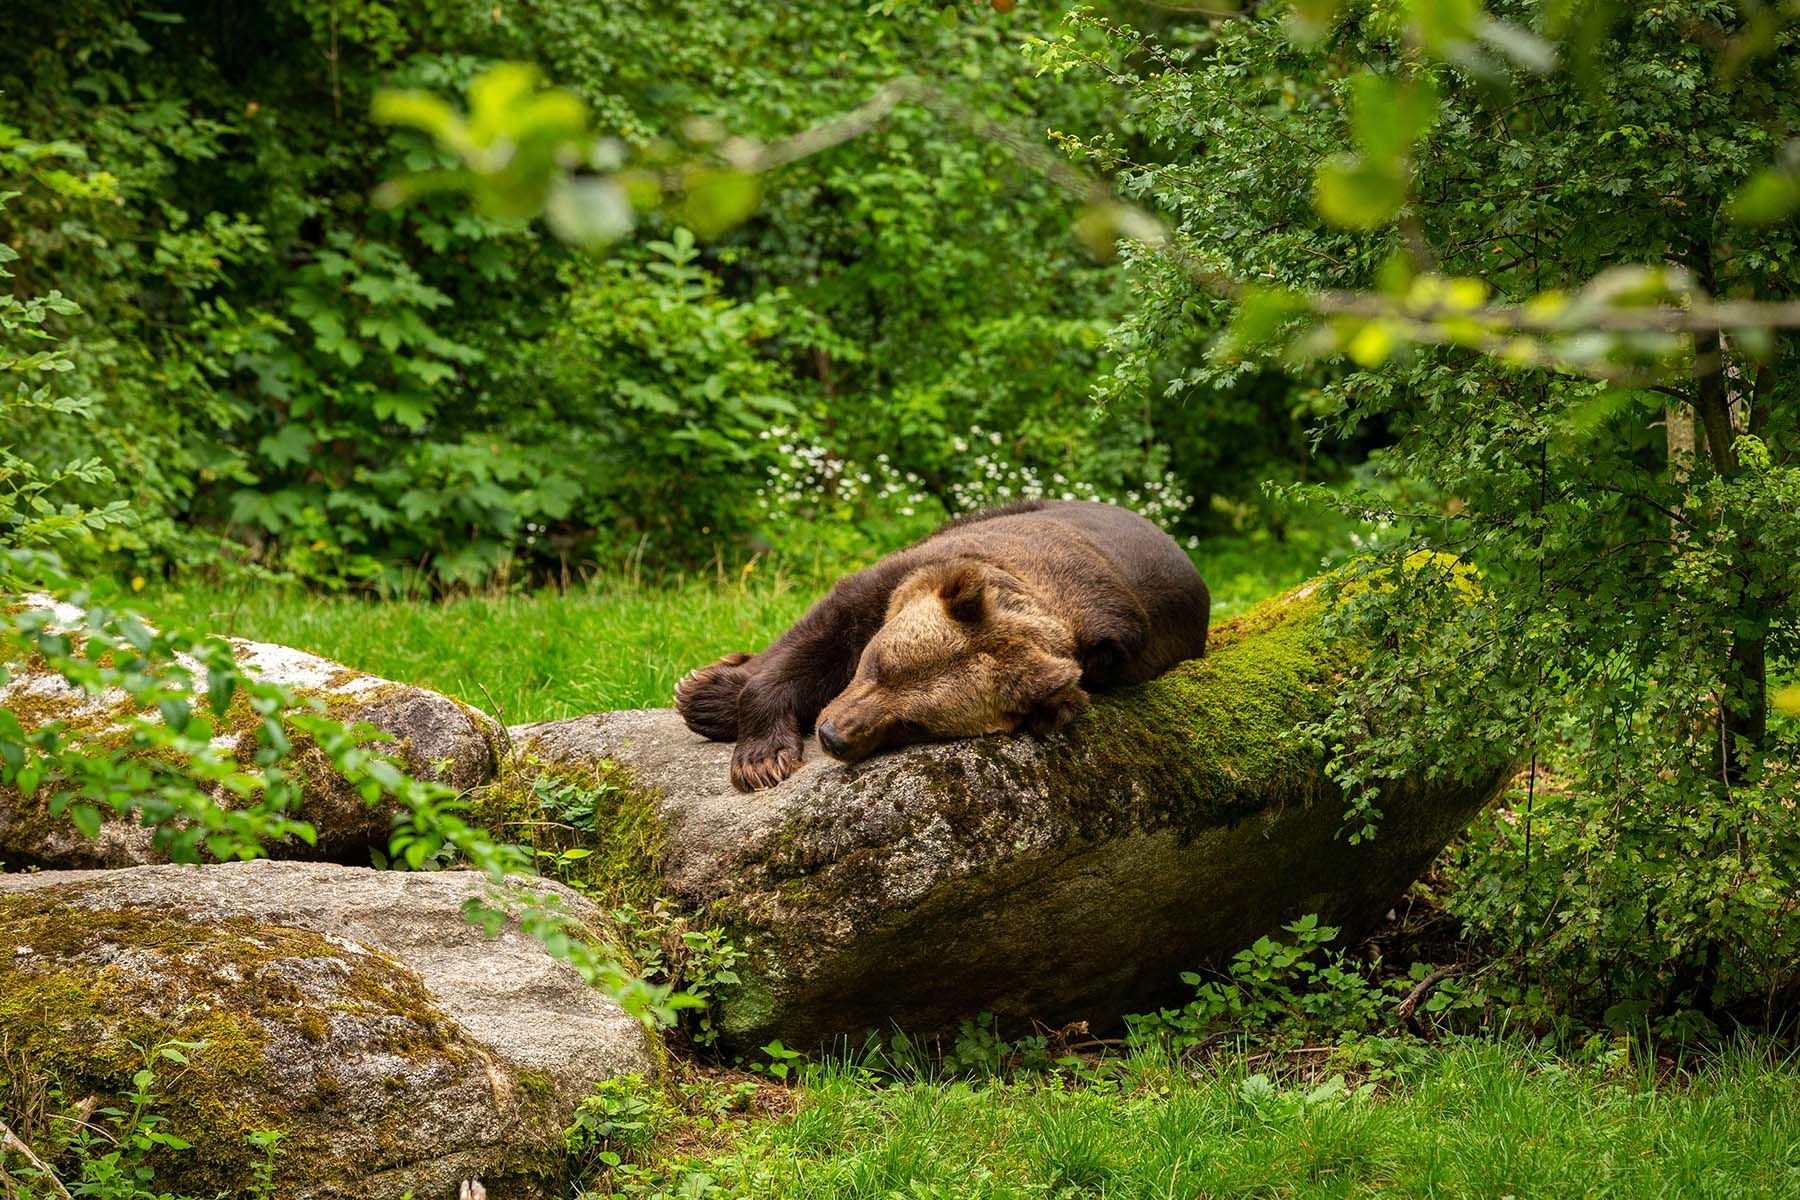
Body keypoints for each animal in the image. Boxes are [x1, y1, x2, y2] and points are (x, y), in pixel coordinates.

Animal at [674, 500, 1211, 791]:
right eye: (877, 664)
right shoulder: (909, 574)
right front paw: (758, 754)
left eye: (915, 724)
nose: (832, 736)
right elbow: (818, 637)